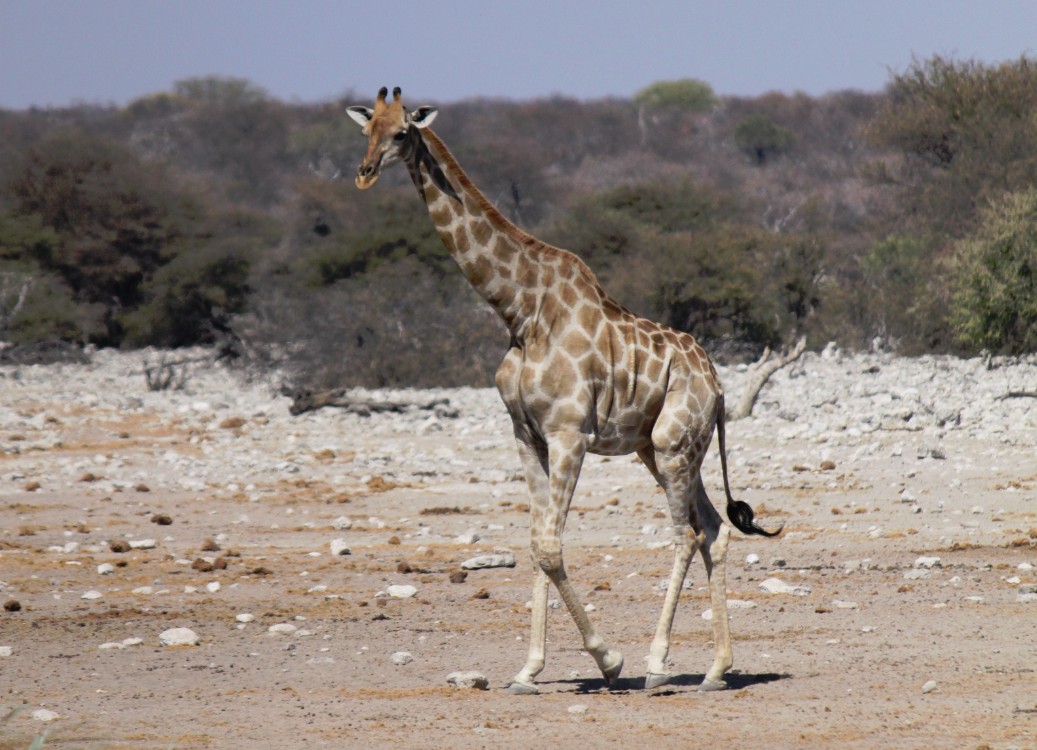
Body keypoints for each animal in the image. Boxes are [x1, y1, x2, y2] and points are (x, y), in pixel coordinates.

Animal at [344, 89, 779, 697]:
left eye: (403, 132)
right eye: (366, 131)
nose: (363, 174)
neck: (519, 311)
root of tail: (717, 386)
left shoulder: (569, 433)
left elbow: (551, 546)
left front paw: (608, 659)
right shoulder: (526, 435)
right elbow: (534, 542)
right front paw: (528, 670)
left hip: (672, 446)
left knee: (686, 534)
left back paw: (657, 663)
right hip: (660, 449)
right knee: (714, 530)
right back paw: (716, 670)